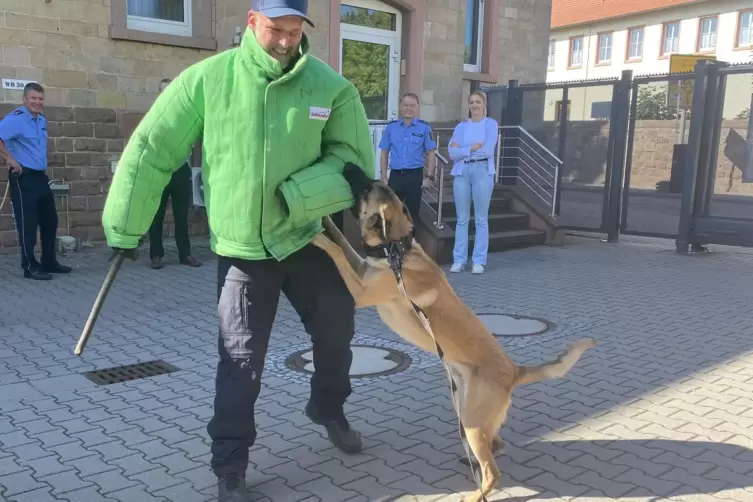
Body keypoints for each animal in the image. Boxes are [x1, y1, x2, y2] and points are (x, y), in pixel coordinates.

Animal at [310, 164, 592, 502]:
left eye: (367, 188)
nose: (348, 167)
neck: (397, 249)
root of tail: (514, 370)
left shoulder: (362, 290)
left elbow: (337, 251)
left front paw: (317, 238)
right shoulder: (362, 267)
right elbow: (342, 241)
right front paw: (325, 223)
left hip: (470, 421)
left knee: (493, 470)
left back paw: (475, 493)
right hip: (467, 412)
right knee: (495, 446)